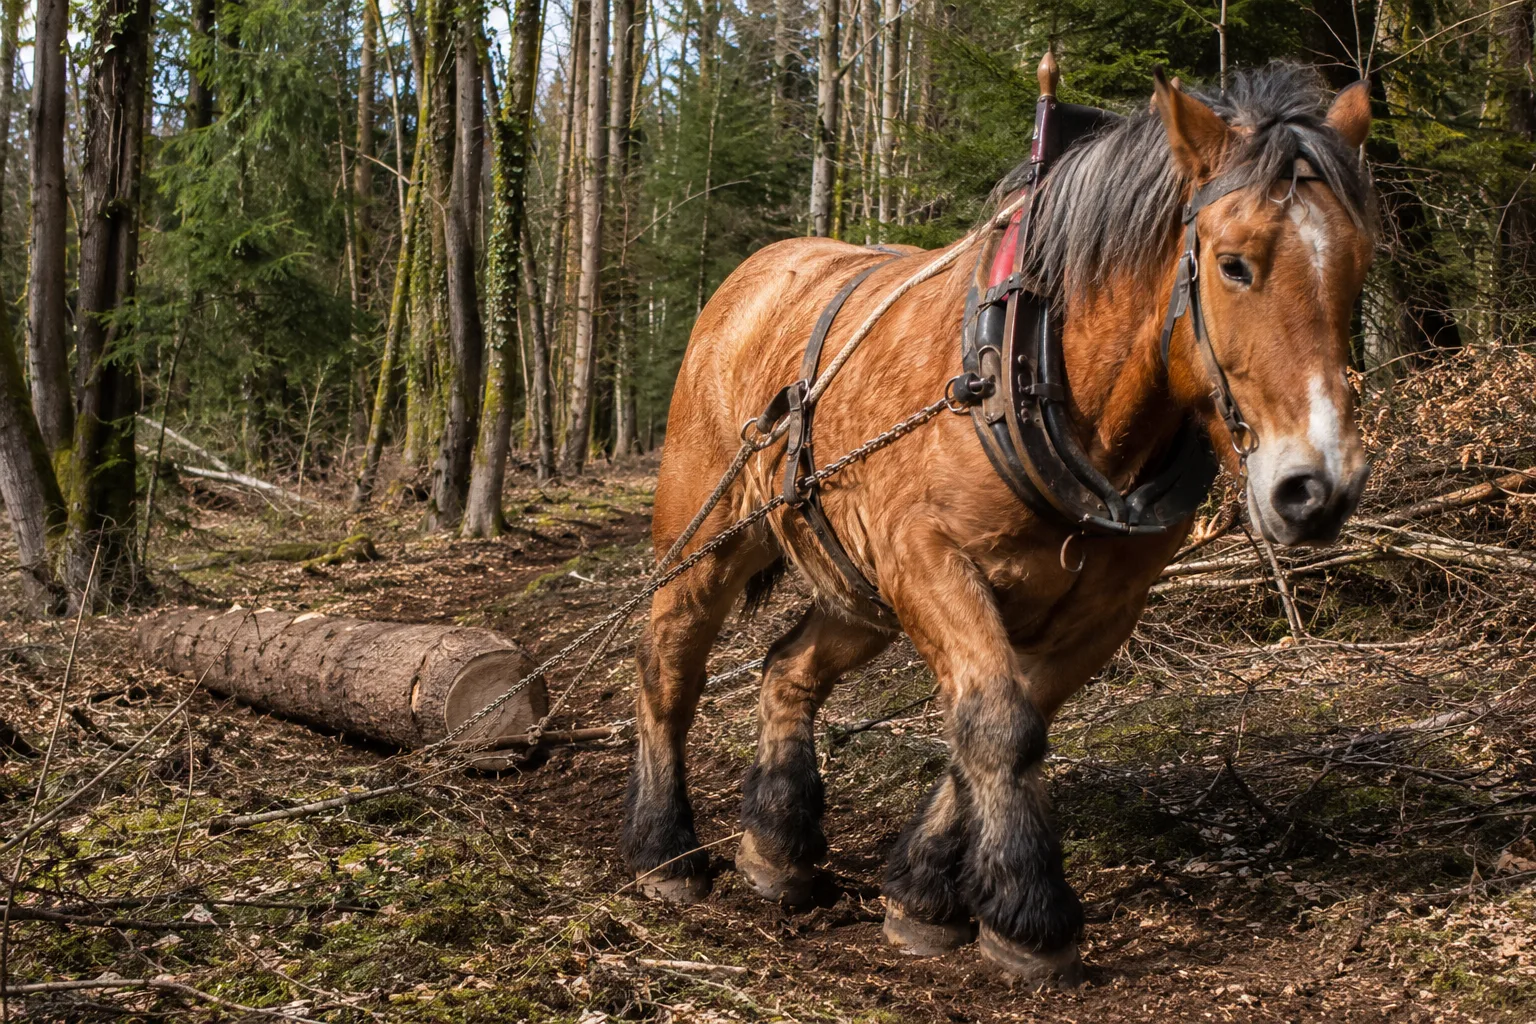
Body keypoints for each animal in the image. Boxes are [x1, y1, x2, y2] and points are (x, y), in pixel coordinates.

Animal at [620, 63, 1376, 985]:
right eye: (1235, 266)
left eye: (1357, 270)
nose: (1319, 488)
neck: (1038, 370)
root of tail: (754, 274)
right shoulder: (929, 560)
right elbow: (999, 723)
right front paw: (1028, 914)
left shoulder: (1105, 607)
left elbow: (1009, 718)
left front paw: (922, 892)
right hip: (708, 537)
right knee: (669, 667)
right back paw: (665, 849)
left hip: (857, 582)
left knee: (787, 670)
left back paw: (777, 847)